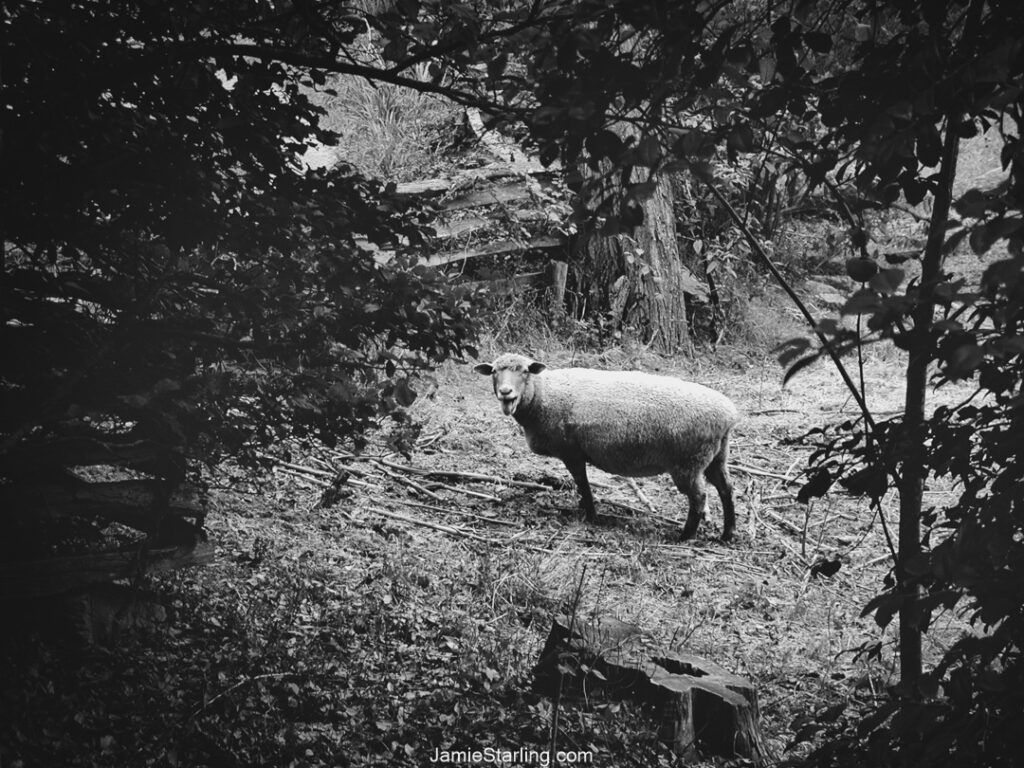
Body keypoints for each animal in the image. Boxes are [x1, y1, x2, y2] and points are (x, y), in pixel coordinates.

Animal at [475, 354, 741, 540]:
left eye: (524, 371)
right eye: (494, 372)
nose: (506, 393)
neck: (542, 395)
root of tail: (729, 415)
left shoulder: (571, 452)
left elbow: (582, 483)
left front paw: (590, 514)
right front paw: (585, 508)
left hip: (688, 463)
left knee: (699, 497)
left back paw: (685, 537)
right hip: (716, 456)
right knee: (726, 489)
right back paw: (727, 534)